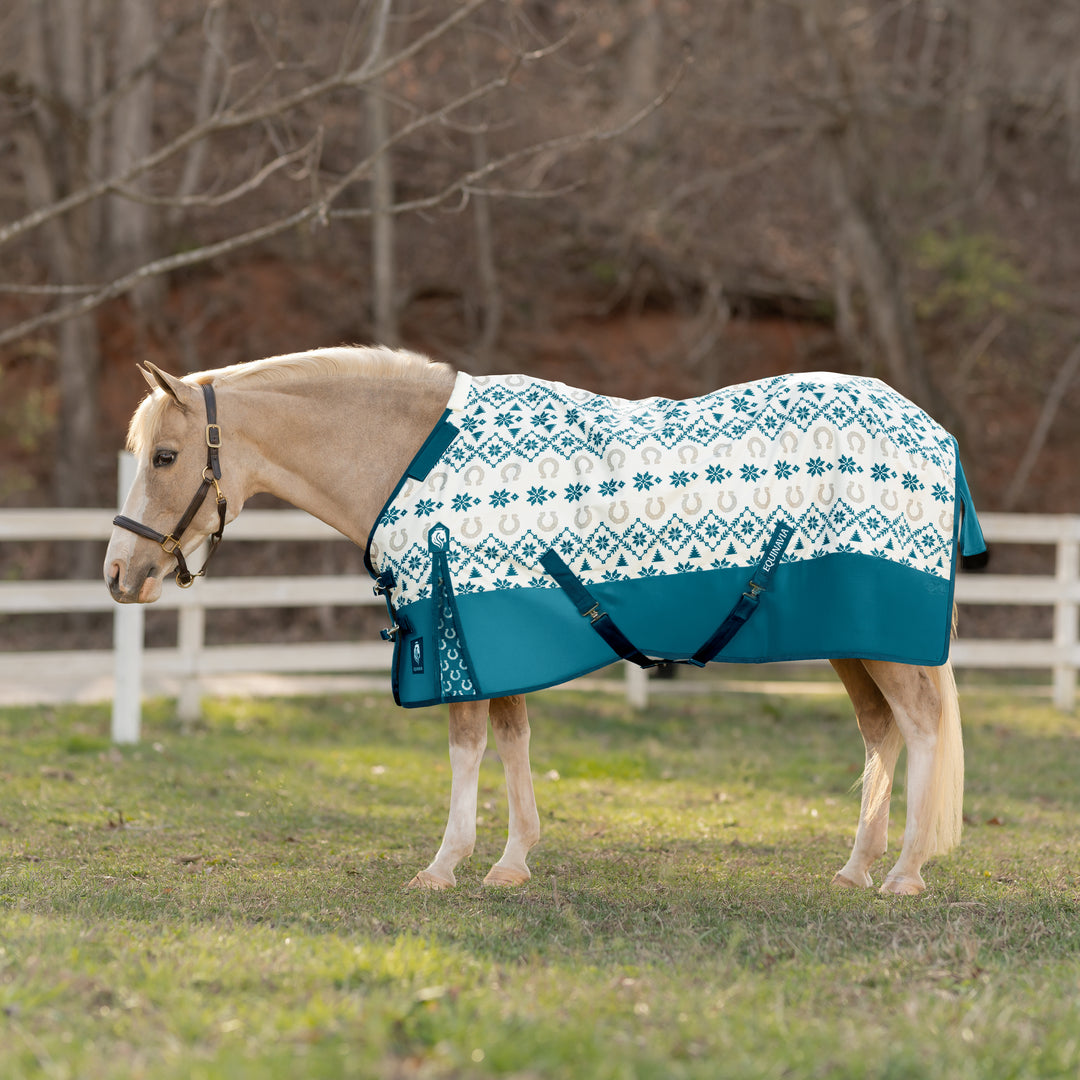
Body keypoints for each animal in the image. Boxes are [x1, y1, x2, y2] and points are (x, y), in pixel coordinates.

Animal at [105, 345, 984, 896]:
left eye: (166, 457)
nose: (119, 574)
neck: (412, 457)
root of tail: (933, 430)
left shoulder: (459, 628)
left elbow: (469, 747)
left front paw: (445, 865)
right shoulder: (493, 633)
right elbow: (512, 740)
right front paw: (512, 862)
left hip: (883, 640)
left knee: (921, 728)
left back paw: (904, 874)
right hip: (852, 644)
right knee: (881, 734)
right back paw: (856, 868)